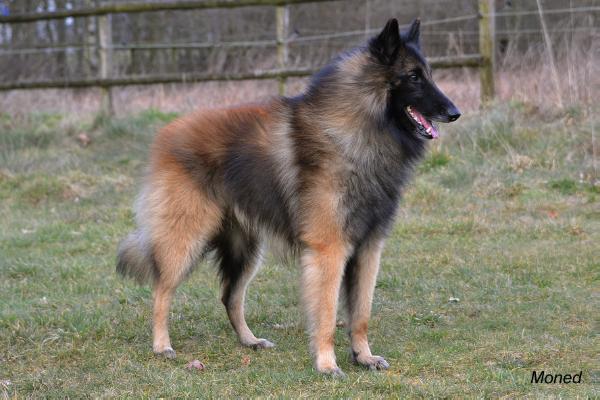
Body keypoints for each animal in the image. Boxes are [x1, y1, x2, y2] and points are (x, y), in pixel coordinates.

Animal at [119, 18, 462, 376]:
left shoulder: (369, 248)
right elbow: (327, 315)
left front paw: (364, 356)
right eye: (413, 77)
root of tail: (167, 133)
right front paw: (326, 364)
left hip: (245, 249)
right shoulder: (329, 250)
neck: (356, 132)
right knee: (162, 290)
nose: (455, 113)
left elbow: (361, 314)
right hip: (186, 237)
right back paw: (162, 345)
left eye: (429, 74)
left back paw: (250, 340)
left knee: (230, 297)